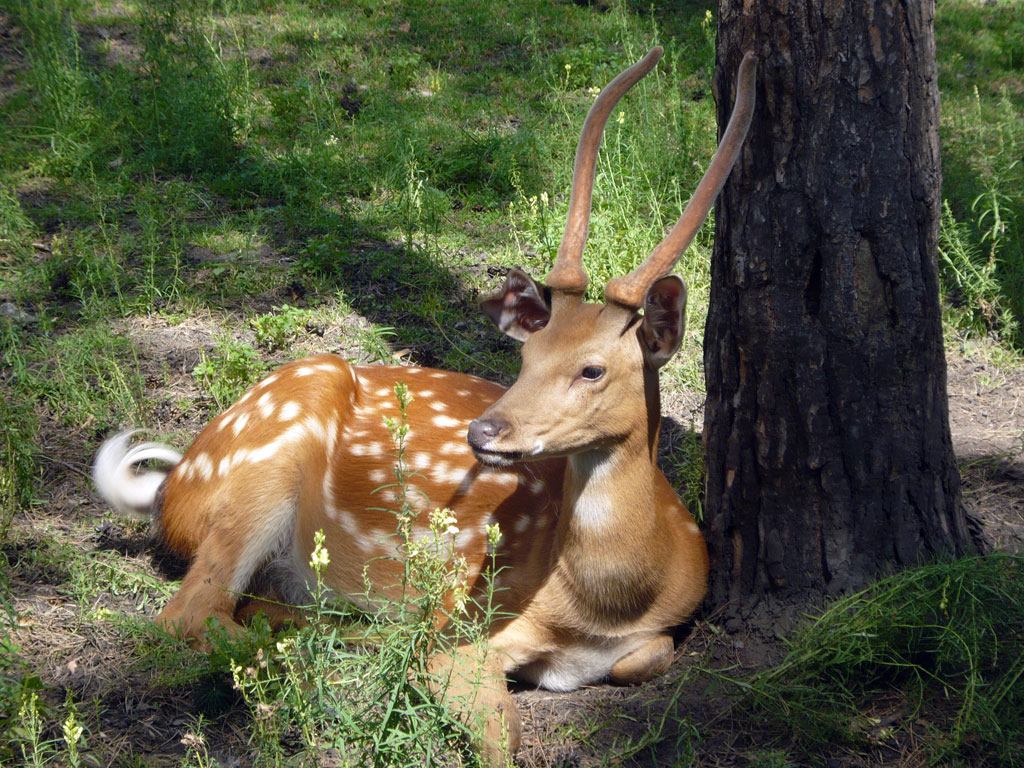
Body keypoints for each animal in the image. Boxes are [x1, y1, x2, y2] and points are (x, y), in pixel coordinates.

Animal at [92, 48, 757, 768]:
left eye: (592, 368)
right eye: (526, 355)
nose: (485, 430)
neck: (605, 603)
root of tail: (172, 486)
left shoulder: (660, 631)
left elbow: (644, 660)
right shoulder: (464, 623)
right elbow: (498, 733)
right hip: (272, 450)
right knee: (190, 615)